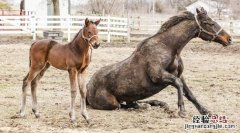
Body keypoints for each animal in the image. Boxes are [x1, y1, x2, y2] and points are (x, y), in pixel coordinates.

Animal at [86, 7, 231, 117]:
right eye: (209, 23)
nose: (229, 39)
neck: (168, 47)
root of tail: (88, 87)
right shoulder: (158, 76)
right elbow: (178, 85)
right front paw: (182, 111)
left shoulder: (179, 75)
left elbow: (189, 93)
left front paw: (205, 111)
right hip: (113, 103)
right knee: (123, 106)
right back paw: (146, 106)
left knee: (132, 103)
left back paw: (156, 104)